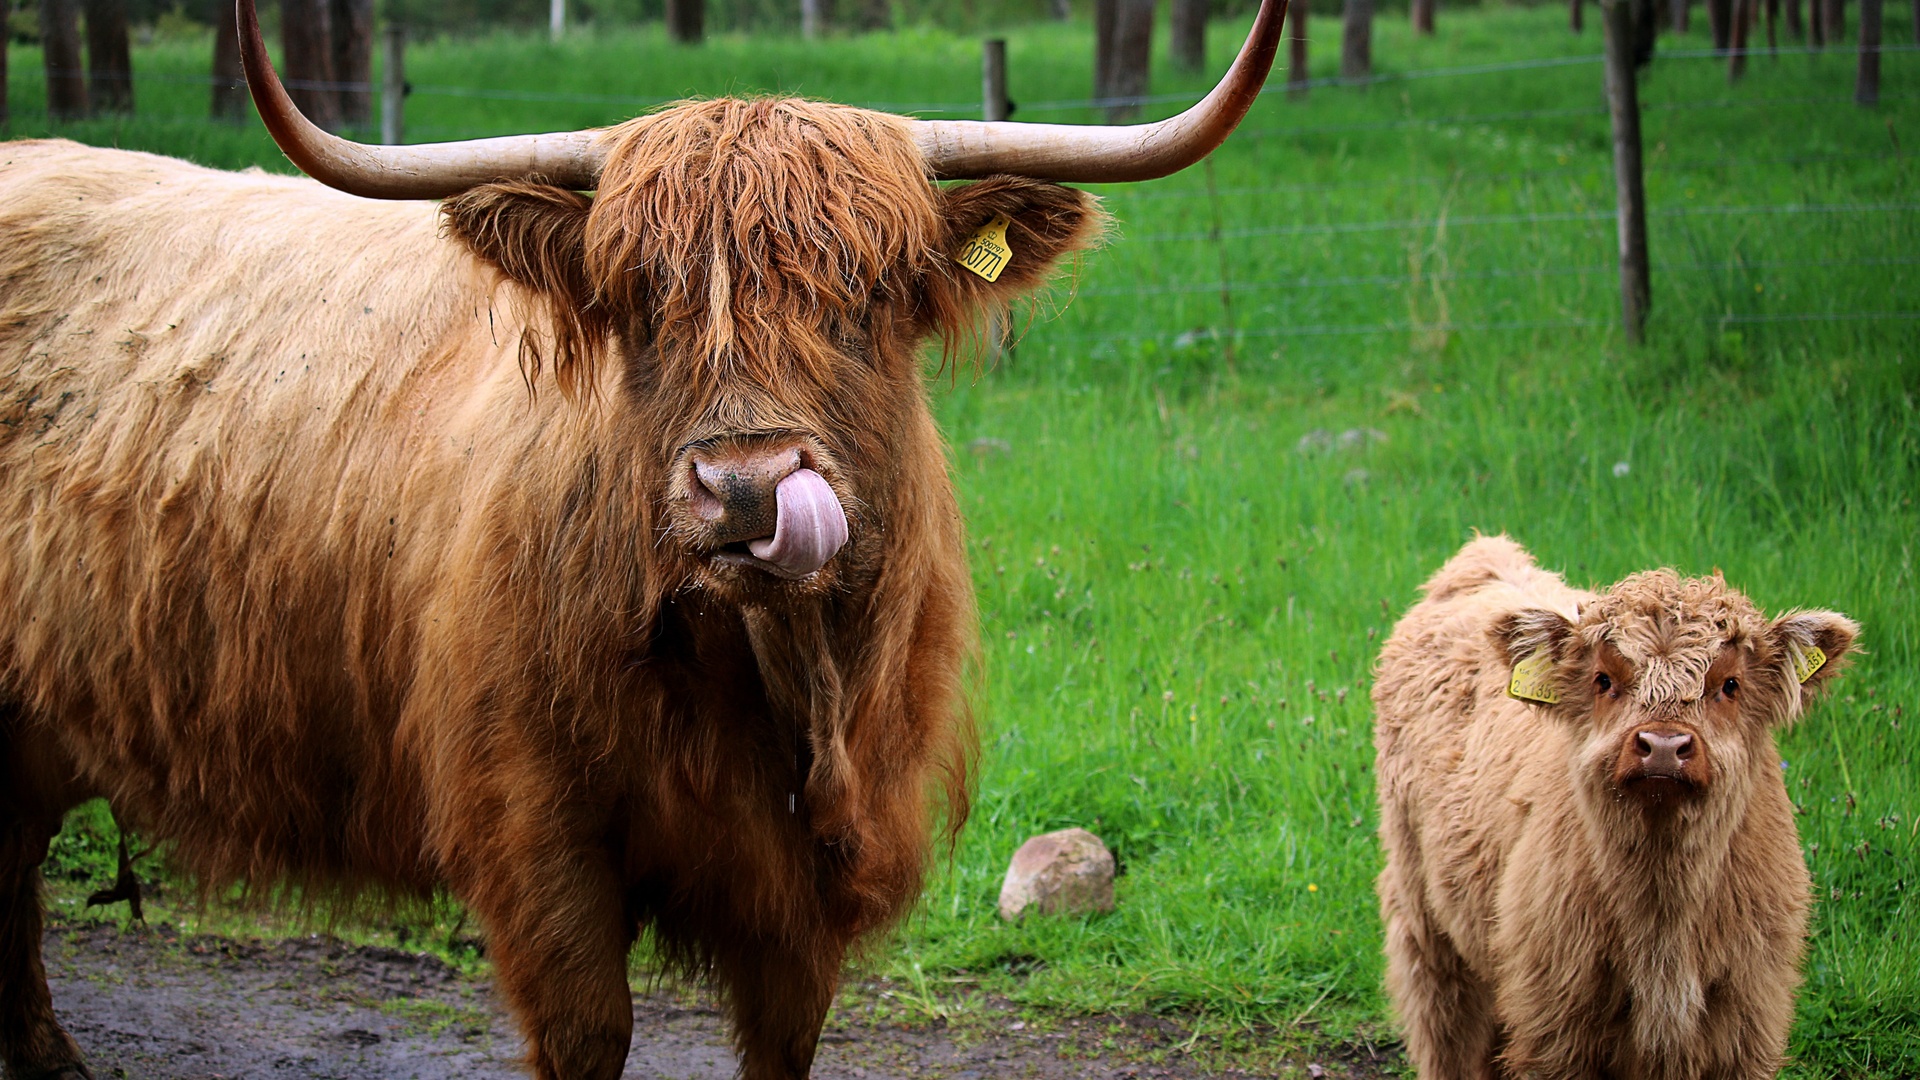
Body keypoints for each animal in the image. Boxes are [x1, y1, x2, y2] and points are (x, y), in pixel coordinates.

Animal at [0, 2, 1290, 1076]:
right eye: (643, 301)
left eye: (869, 294)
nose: (746, 487)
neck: (784, 686)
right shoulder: (534, 839)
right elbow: (590, 1036)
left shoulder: (810, 892)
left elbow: (784, 1048)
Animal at [1374, 534, 1850, 1076]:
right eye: (1603, 679)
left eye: (1729, 685)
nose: (1663, 746)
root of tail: (1485, 555)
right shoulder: (1554, 1022)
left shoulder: (1748, 1017)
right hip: (1424, 916)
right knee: (1446, 1025)